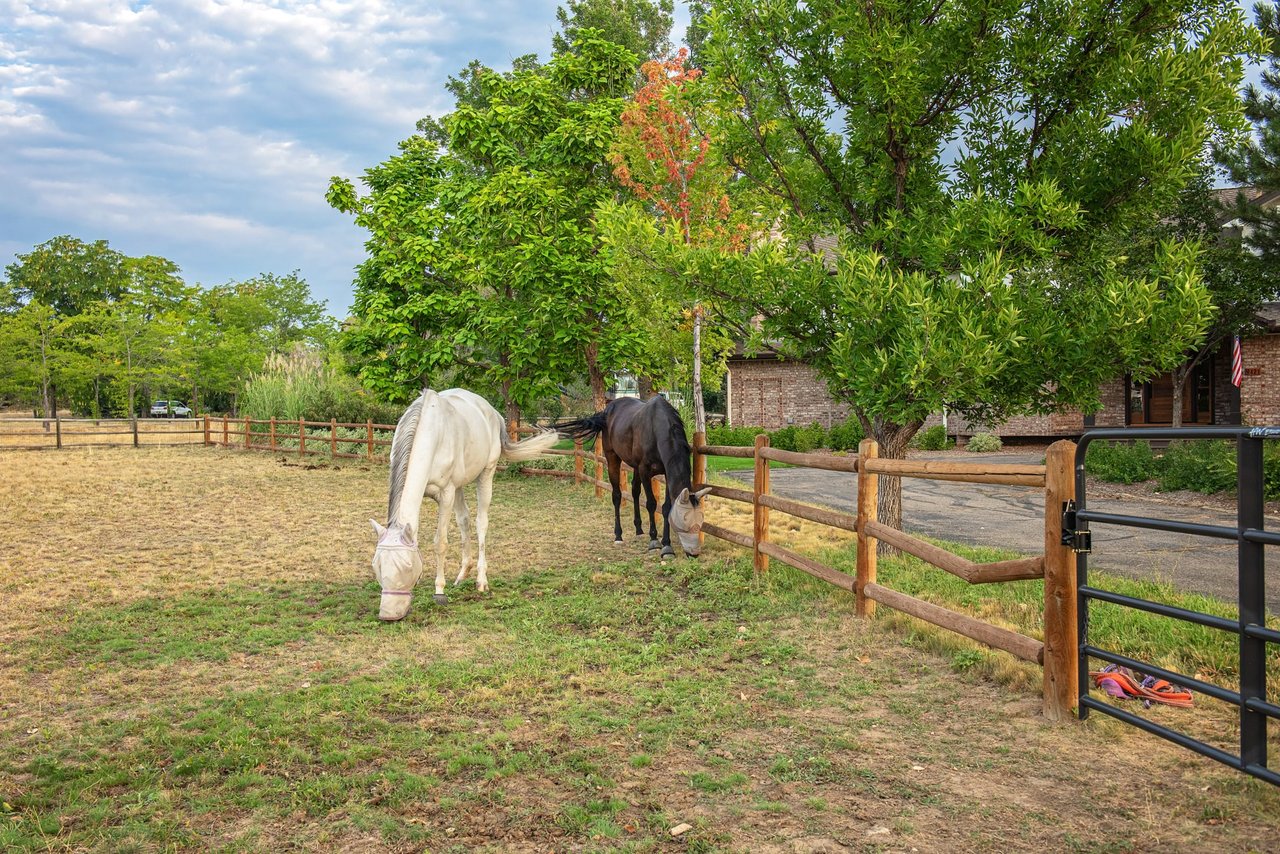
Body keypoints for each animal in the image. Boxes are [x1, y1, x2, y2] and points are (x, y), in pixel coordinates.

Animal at [366, 389, 555, 622]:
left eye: (407, 566)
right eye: (377, 565)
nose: (388, 615)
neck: (430, 434)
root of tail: (491, 411)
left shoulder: (446, 494)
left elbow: (440, 542)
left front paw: (439, 591)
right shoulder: (446, 490)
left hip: (486, 474)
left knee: (481, 522)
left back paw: (481, 581)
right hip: (459, 486)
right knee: (464, 520)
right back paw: (463, 574)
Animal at [558, 396, 711, 558]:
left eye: (700, 520)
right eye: (684, 521)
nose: (694, 553)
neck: (656, 428)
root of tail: (606, 411)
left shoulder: (666, 473)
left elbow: (666, 507)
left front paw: (667, 545)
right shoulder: (644, 471)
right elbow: (651, 504)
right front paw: (654, 541)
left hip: (635, 468)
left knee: (635, 491)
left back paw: (639, 530)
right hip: (613, 458)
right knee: (617, 495)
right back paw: (618, 535)